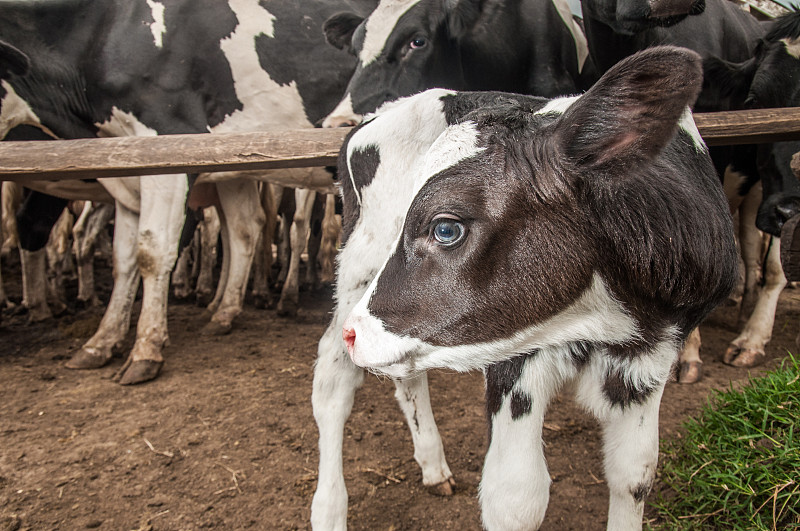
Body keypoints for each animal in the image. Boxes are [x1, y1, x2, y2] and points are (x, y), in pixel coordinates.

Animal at [0, 0, 376, 384]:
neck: (109, 30)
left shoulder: (169, 145)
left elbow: (152, 253)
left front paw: (146, 350)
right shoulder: (126, 168)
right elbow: (124, 259)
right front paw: (102, 341)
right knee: (246, 230)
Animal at [314, 46, 736, 531]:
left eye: (445, 229)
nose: (355, 333)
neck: (601, 323)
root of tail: (379, 113)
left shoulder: (652, 357)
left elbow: (635, 472)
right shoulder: (514, 360)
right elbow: (516, 496)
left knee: (406, 376)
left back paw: (433, 464)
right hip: (359, 267)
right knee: (333, 381)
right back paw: (328, 509)